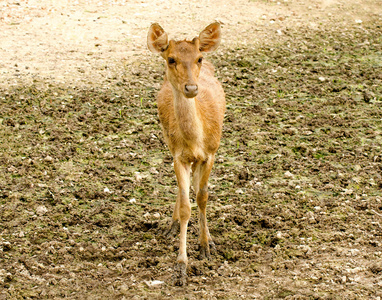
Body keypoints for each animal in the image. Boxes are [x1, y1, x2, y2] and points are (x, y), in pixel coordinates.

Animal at [145, 22, 224, 284]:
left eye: (198, 58)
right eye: (171, 59)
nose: (191, 88)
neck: (195, 142)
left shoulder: (210, 153)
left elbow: (202, 197)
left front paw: (206, 246)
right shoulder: (178, 157)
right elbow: (185, 206)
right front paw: (181, 266)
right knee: (183, 192)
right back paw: (171, 226)